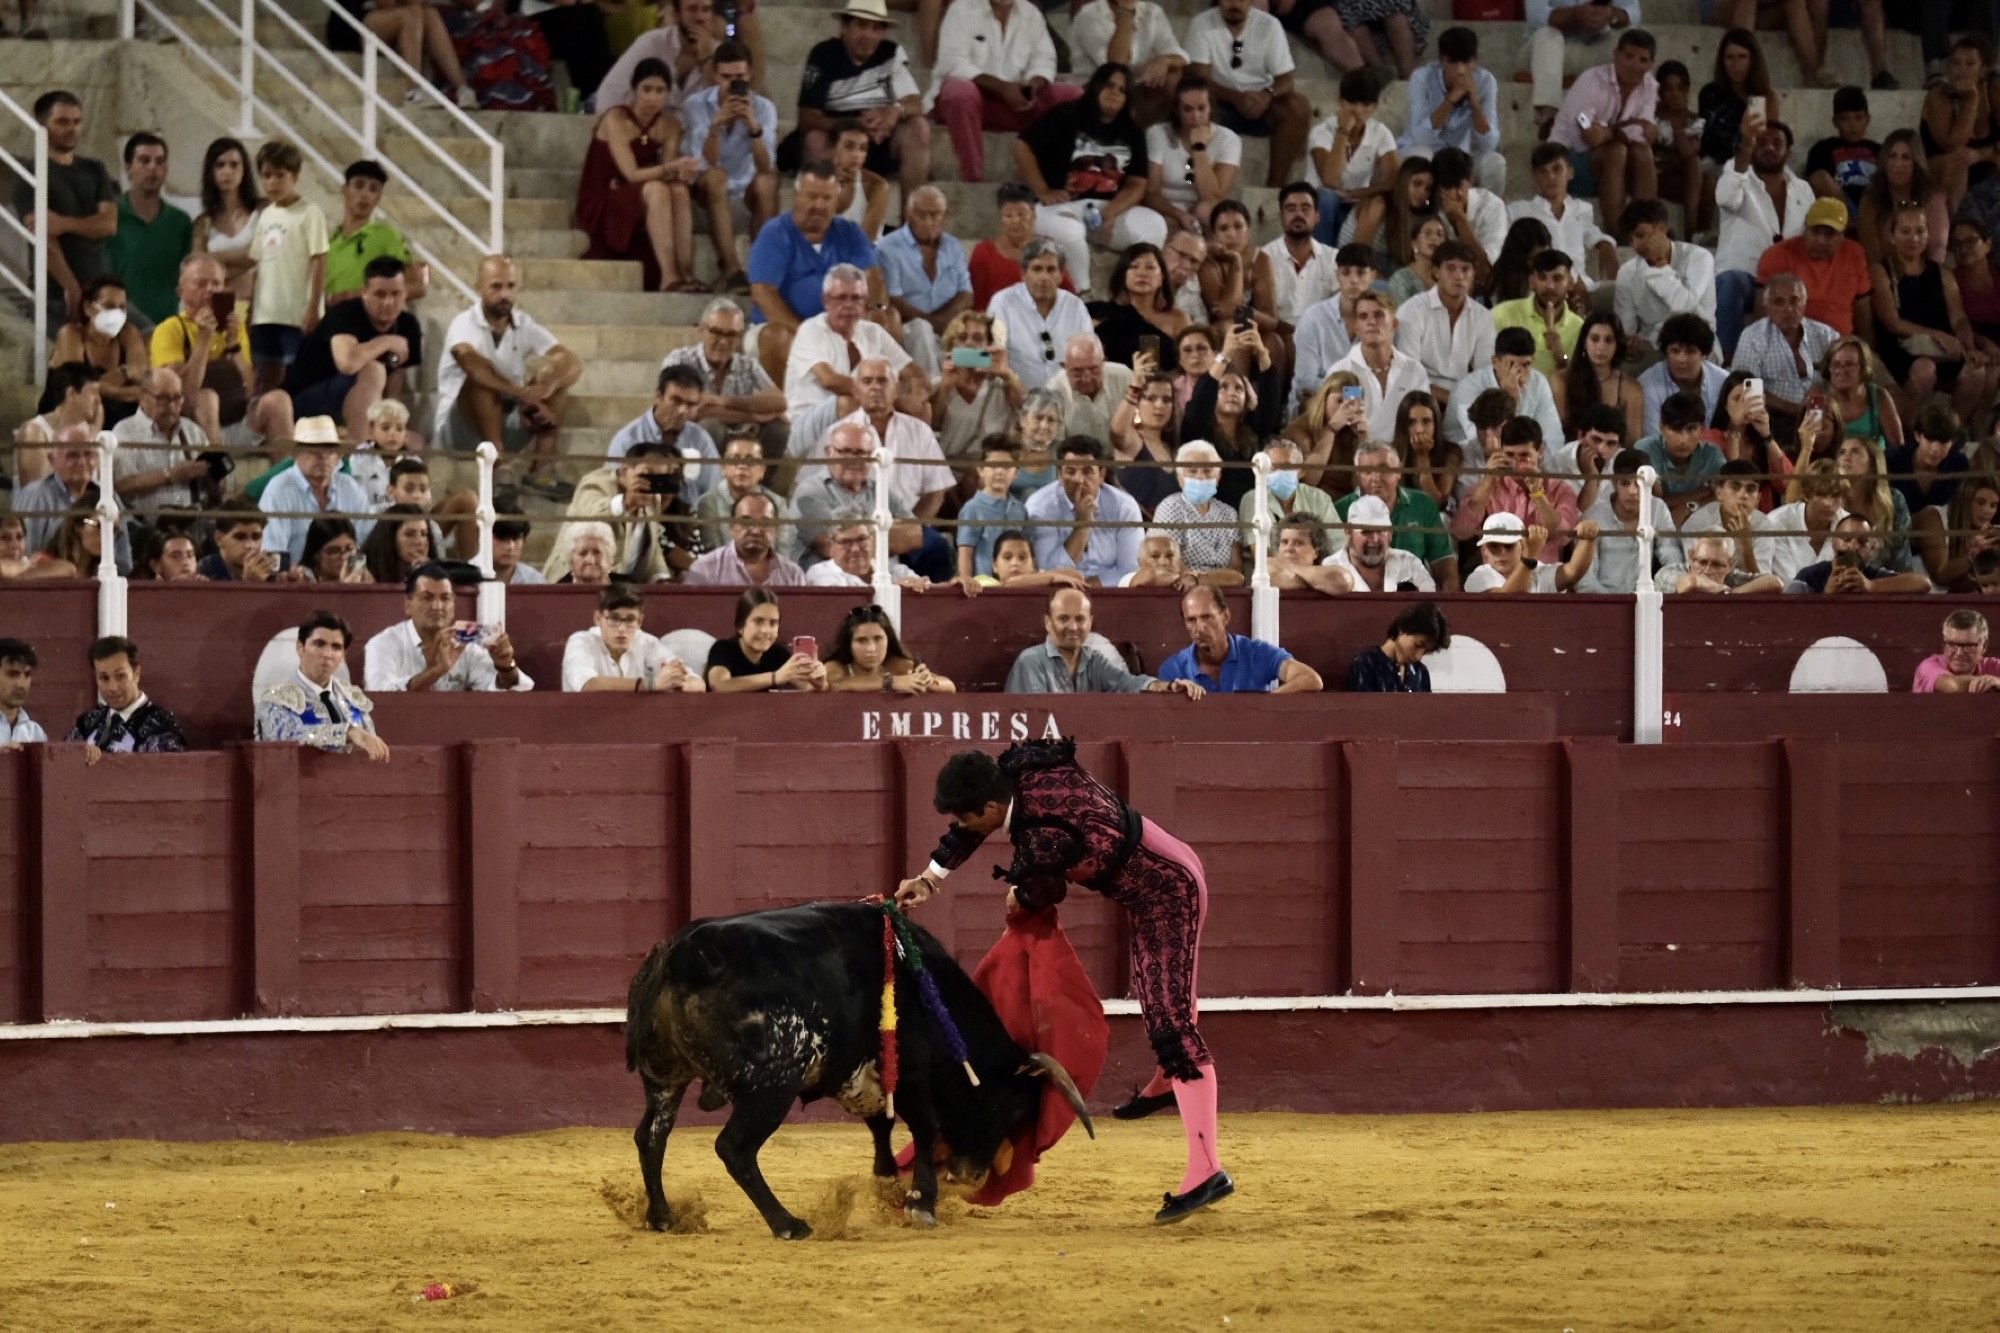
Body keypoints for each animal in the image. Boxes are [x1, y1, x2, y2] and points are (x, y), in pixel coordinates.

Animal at [624, 896, 1096, 1232]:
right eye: (1012, 1107)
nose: (971, 1174)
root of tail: (680, 955)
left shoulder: (866, 1074)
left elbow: (881, 1126)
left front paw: (888, 1185)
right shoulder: (911, 1072)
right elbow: (924, 1128)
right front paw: (921, 1203)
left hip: (664, 1077)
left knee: (651, 1136)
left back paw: (662, 1217)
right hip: (771, 1086)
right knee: (734, 1148)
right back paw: (789, 1224)